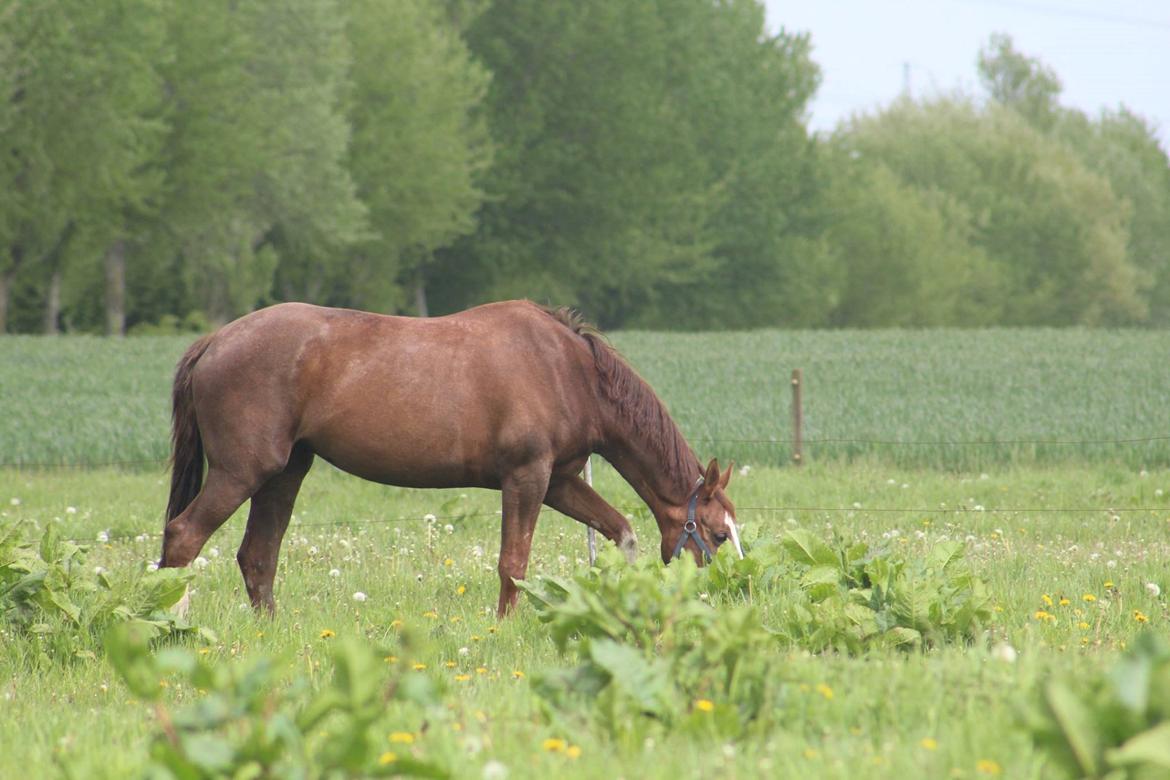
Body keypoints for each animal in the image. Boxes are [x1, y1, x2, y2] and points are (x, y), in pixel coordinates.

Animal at [160, 301, 739, 617]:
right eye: (715, 534)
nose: (720, 594)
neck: (567, 370)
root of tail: (215, 341)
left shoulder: (559, 482)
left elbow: (620, 531)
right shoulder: (526, 479)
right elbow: (513, 563)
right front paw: (505, 626)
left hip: (284, 475)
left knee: (258, 556)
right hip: (242, 472)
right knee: (184, 537)